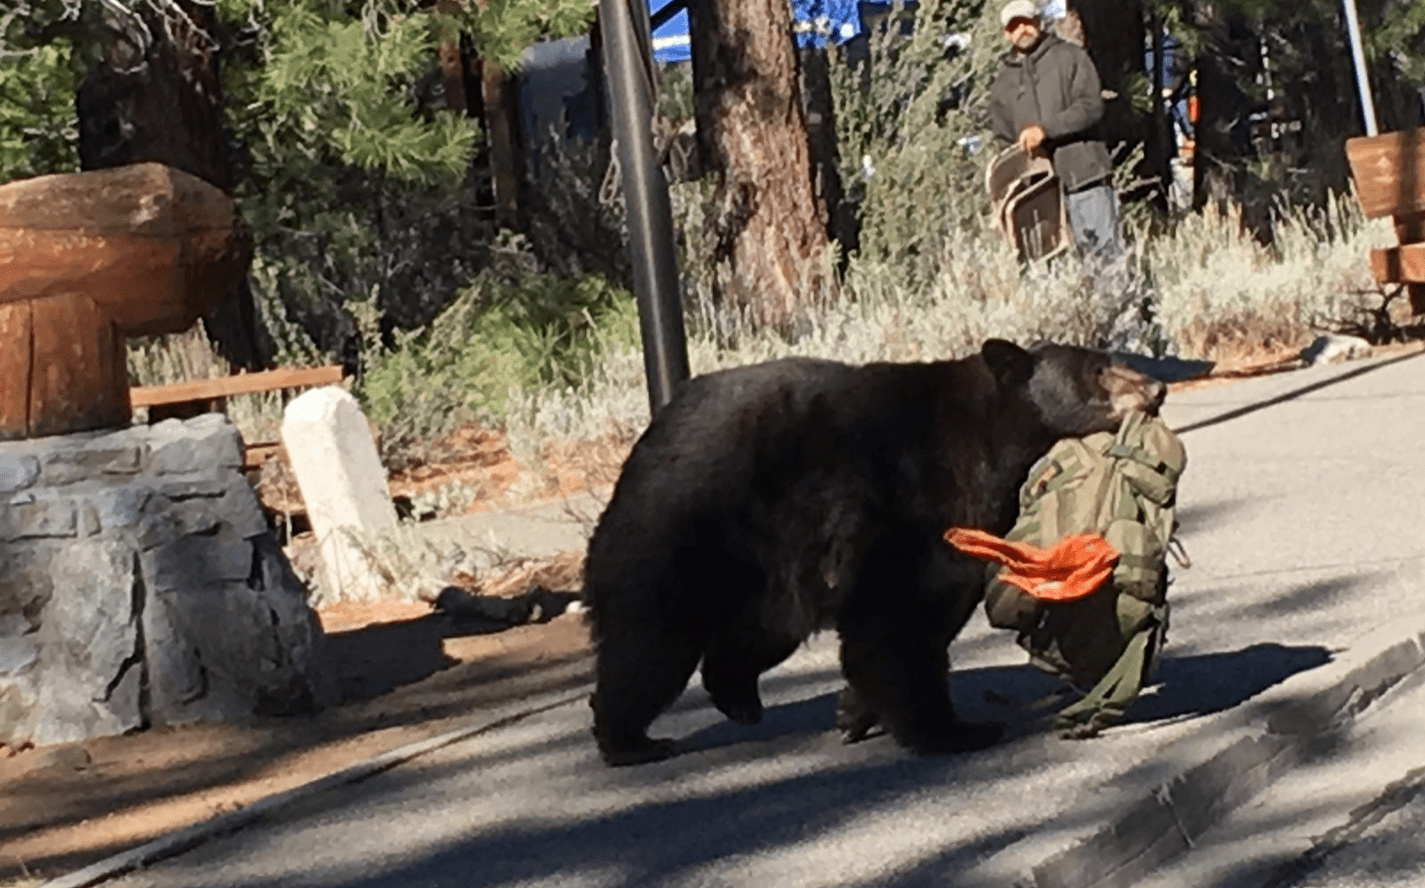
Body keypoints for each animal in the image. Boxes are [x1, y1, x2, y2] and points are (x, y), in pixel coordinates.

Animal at [584, 340, 1162, 763]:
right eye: (1099, 371)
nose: (1156, 388)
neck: (990, 444)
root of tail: (649, 436)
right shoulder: (909, 510)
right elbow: (898, 626)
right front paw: (953, 730)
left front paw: (855, 712)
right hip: (685, 537)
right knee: (648, 648)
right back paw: (631, 740)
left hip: (763, 575)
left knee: (751, 637)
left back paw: (738, 699)